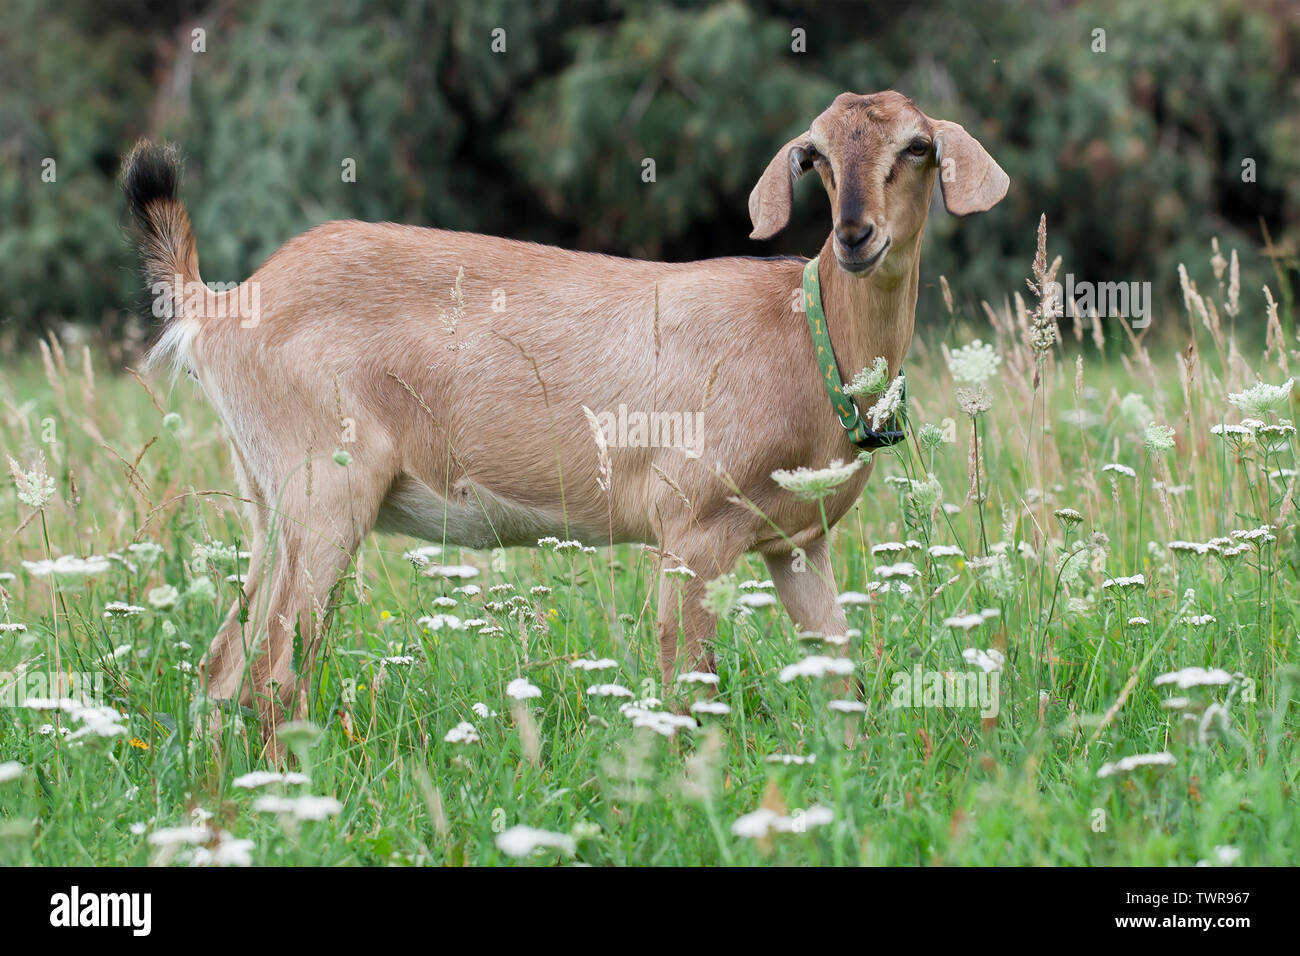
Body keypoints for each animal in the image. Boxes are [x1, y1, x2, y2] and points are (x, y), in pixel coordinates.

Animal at [122, 91, 1008, 749]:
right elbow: (684, 686)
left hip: (271, 504)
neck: (802, 338)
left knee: (221, 667)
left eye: (917, 147)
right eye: (814, 155)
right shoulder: (693, 526)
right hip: (326, 493)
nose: (855, 235)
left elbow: (841, 677)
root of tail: (217, 308)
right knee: (273, 675)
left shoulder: (795, 542)